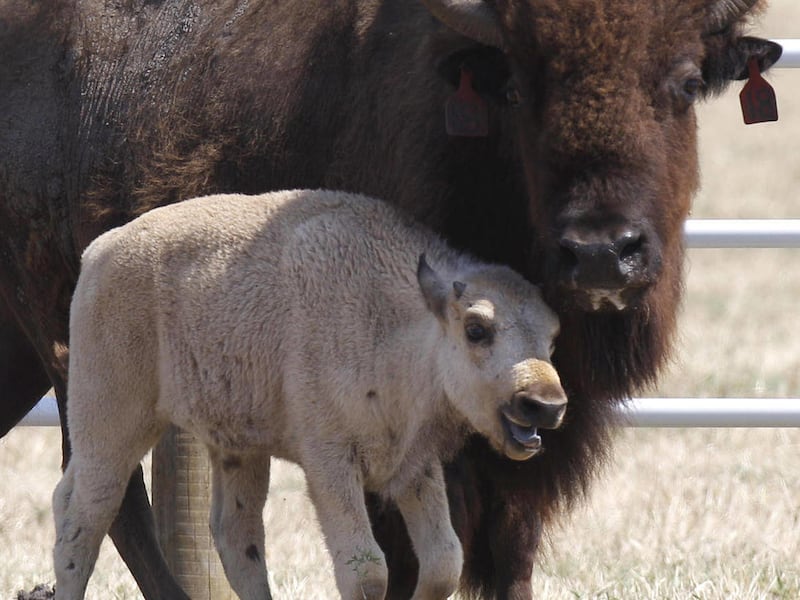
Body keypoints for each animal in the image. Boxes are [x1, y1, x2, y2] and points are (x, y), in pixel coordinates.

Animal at [0, 1, 781, 599]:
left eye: (686, 82)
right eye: (519, 88)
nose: (599, 252)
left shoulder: (484, 457)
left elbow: (475, 559)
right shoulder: (361, 457)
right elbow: (384, 563)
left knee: (218, 527)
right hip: (89, 381)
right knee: (100, 502)